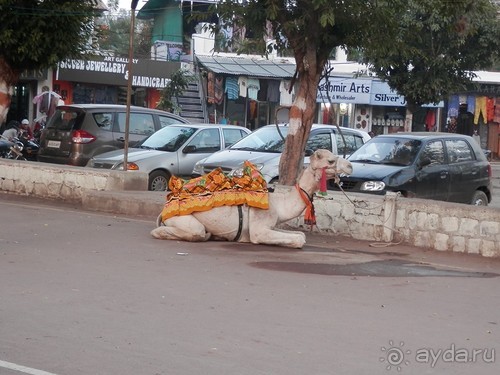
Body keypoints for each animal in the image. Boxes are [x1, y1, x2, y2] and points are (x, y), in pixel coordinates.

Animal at [150, 149, 354, 250]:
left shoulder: (271, 224)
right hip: (183, 220)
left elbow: (300, 235)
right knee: (193, 232)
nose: (350, 166)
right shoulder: (259, 228)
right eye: (330, 161)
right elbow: (298, 240)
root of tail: (165, 208)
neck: (278, 204)